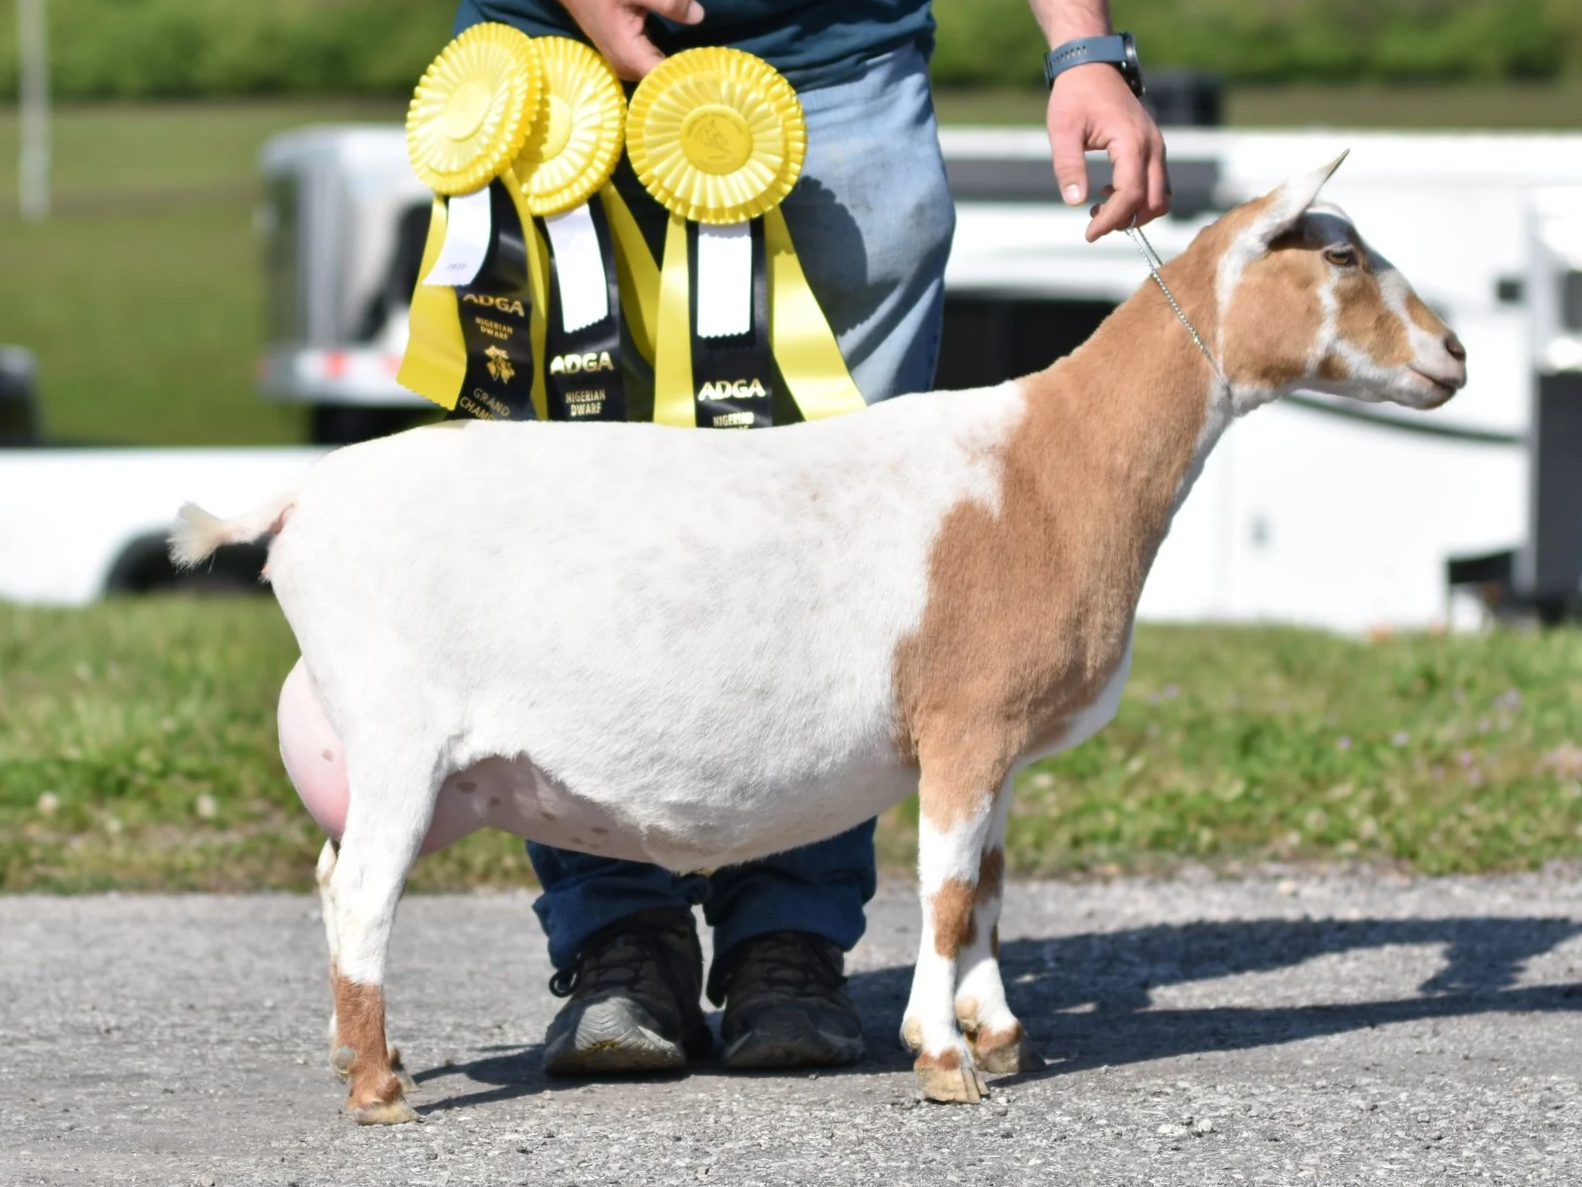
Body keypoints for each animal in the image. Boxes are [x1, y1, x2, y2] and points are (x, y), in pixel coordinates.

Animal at [170, 157, 1465, 1123]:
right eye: (1340, 255)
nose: (1455, 355)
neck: (1052, 463)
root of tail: (295, 502)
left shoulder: (992, 743)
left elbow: (989, 887)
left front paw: (998, 1034)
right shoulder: (964, 721)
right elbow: (945, 894)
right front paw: (942, 1059)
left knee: (335, 875)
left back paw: (365, 1059)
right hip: (394, 728)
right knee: (362, 893)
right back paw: (379, 1087)